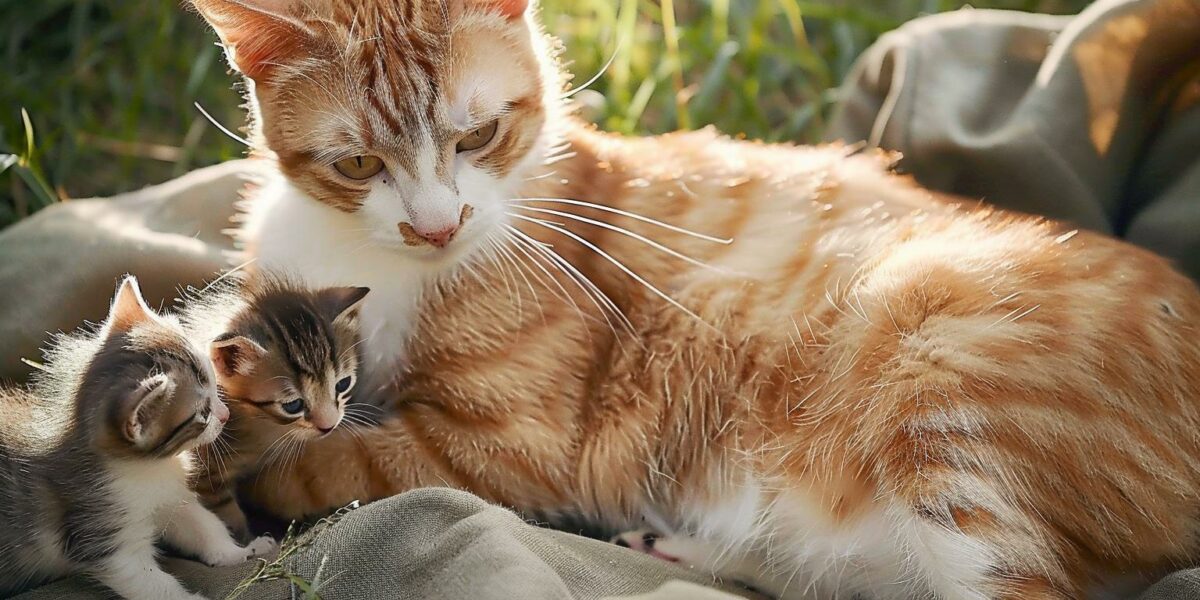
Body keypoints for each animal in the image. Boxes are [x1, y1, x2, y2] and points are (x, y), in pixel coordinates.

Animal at [0, 276, 274, 600]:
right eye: (202, 413)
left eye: (212, 380)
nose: (225, 415)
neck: (146, 466)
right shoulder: (102, 533)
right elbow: (151, 583)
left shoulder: (169, 497)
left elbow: (203, 526)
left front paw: (239, 552)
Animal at [182, 276, 367, 540]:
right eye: (293, 405)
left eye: (343, 384)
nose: (329, 426)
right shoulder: (205, 477)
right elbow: (228, 516)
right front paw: (248, 541)